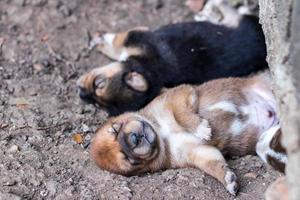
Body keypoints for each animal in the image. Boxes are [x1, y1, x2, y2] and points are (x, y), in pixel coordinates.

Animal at [77, 9, 268, 115]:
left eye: (99, 84)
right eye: (97, 105)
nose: (79, 93)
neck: (150, 69)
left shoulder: (136, 36)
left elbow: (116, 41)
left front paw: (101, 40)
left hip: (242, 22)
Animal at [90, 72, 288, 195]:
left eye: (115, 129)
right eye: (129, 159)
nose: (134, 138)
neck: (162, 133)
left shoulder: (178, 95)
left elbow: (181, 114)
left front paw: (201, 128)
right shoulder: (199, 152)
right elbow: (214, 165)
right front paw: (227, 179)